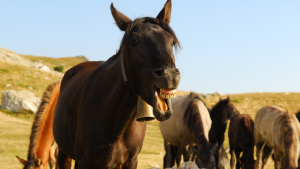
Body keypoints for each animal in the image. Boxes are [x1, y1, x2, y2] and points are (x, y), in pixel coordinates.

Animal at [51, 0, 180, 168]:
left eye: (171, 40)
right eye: (134, 40)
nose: (170, 75)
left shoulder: (131, 161)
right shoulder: (86, 161)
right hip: (63, 153)